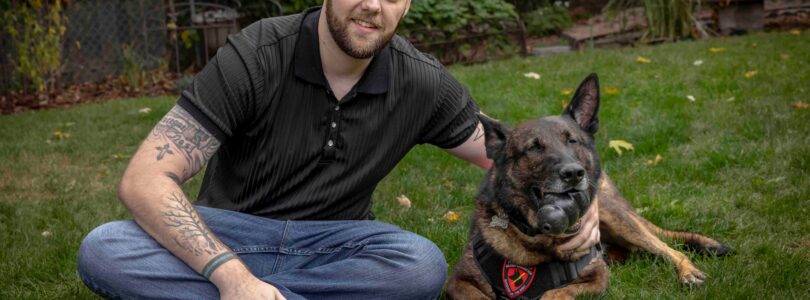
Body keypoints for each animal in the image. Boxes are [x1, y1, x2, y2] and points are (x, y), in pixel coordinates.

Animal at [442, 73, 732, 300]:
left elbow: (555, 293)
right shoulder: (458, 281)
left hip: (618, 219)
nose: (573, 173)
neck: (540, 244)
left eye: (573, 141)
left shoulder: (596, 278)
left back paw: (688, 272)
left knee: (669, 248)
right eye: (534, 148)